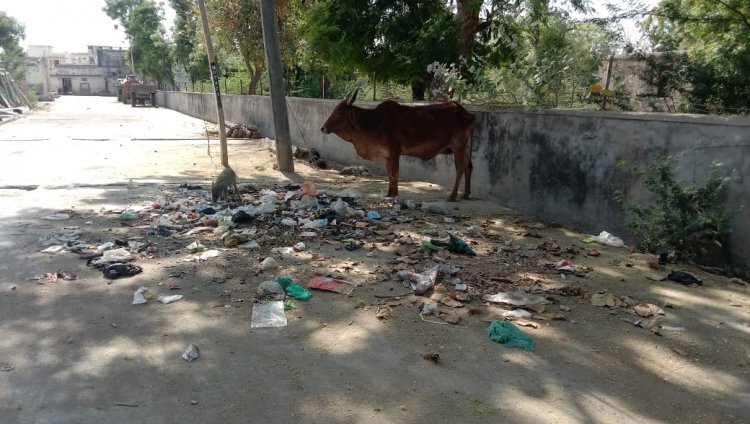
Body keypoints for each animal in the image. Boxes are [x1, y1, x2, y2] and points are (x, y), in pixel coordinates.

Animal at [322, 88, 476, 201]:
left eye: (338, 113)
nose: (323, 128)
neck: (374, 123)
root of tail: (466, 113)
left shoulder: (394, 152)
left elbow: (395, 174)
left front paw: (395, 194)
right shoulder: (387, 155)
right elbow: (390, 174)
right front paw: (390, 193)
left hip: (458, 146)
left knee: (460, 169)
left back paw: (452, 196)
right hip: (465, 148)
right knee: (468, 167)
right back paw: (466, 194)